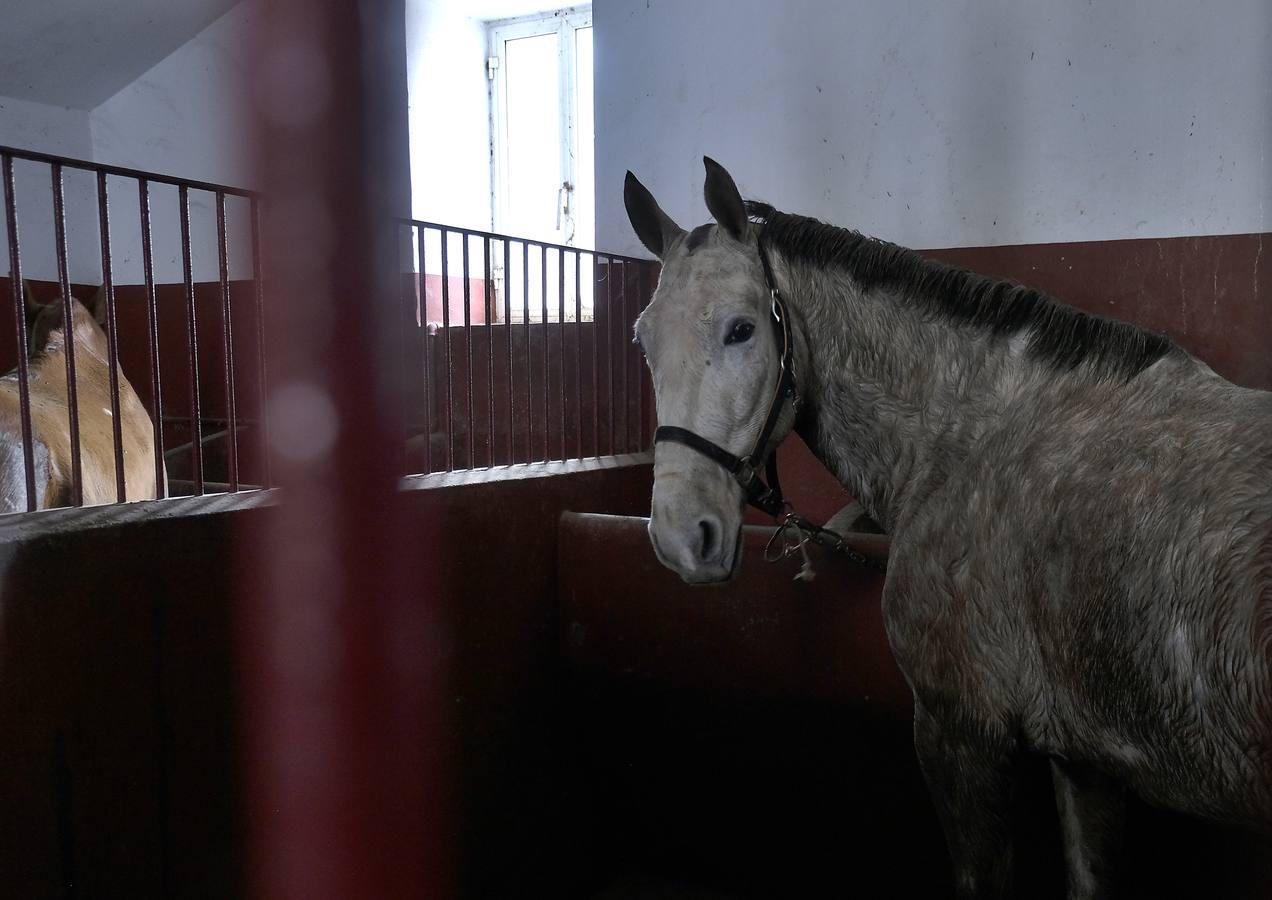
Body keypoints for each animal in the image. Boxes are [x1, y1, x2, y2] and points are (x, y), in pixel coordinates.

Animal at [628, 158, 1272, 894]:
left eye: (741, 329)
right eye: (642, 338)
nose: (682, 536)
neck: (975, 438)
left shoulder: (961, 735)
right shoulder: (1086, 761)